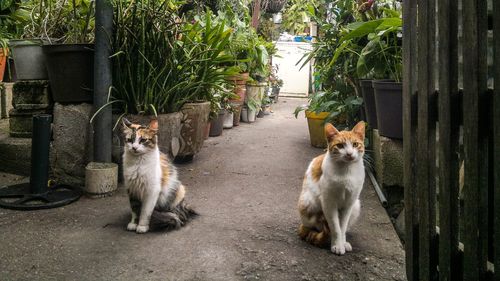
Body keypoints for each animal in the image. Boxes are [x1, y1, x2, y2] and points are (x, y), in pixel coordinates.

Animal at [298, 120, 366, 254]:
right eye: (340, 146)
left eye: (355, 144)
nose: (349, 154)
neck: (346, 171)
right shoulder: (328, 203)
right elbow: (335, 227)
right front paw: (337, 245)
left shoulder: (349, 204)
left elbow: (342, 227)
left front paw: (342, 243)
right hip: (308, 202)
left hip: (356, 205)